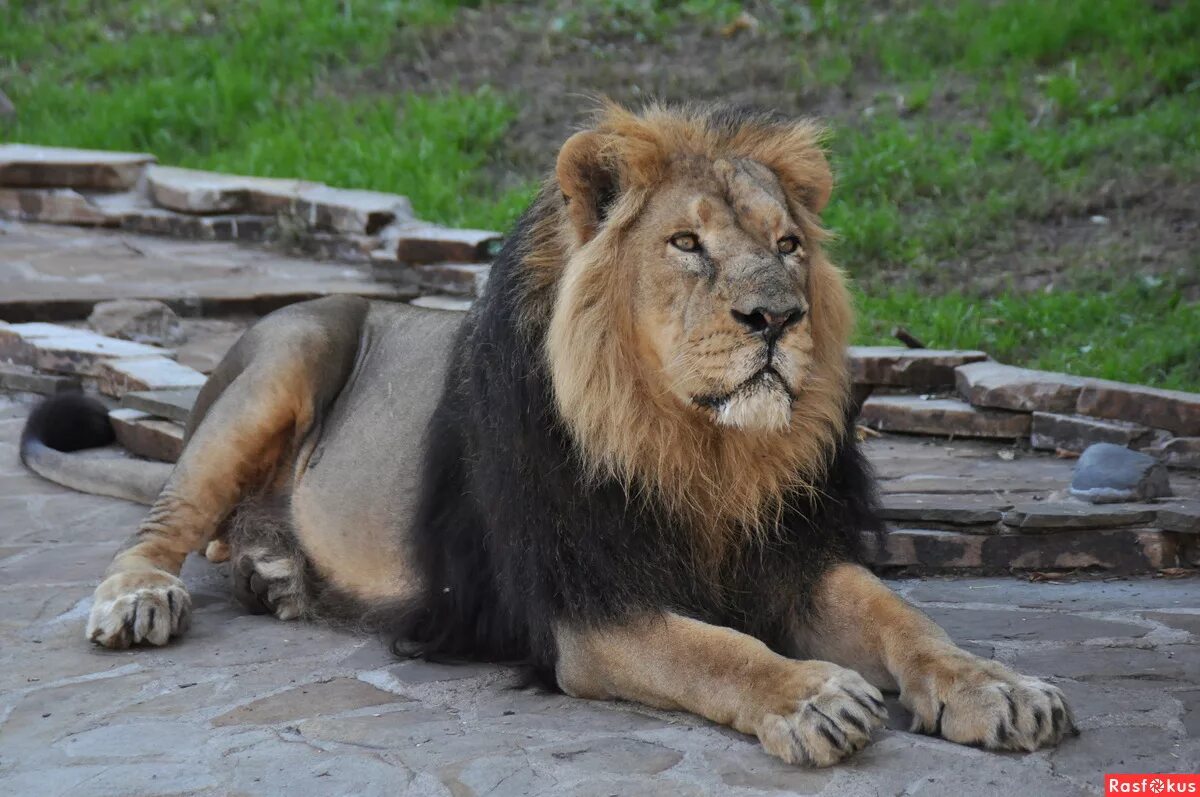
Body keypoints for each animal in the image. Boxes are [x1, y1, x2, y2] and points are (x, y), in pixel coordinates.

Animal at [18, 101, 1075, 768]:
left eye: (787, 246)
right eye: (686, 244)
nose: (776, 316)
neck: (699, 451)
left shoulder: (791, 553)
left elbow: (906, 619)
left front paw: (999, 686)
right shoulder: (587, 608)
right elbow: (713, 651)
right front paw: (811, 695)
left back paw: (275, 572)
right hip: (289, 351)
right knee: (164, 522)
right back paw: (142, 598)